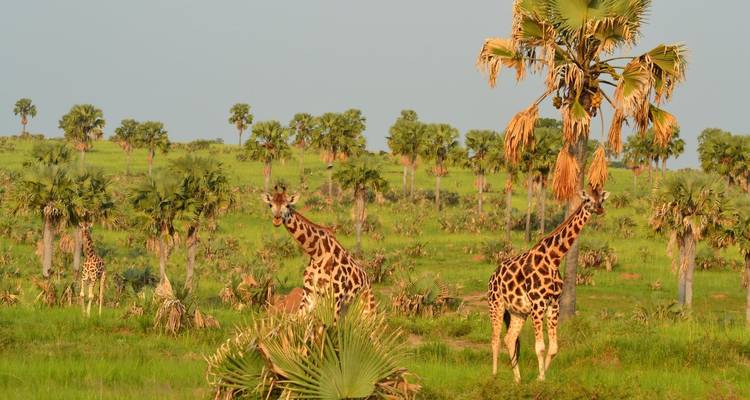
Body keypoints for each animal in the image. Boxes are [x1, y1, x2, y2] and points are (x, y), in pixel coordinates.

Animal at [261, 185, 376, 316]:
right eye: (270, 204)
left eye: (288, 205)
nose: (277, 219)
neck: (316, 253)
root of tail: (368, 280)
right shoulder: (308, 293)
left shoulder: (336, 296)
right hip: (346, 307)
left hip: (366, 307)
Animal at [488, 189, 609, 382]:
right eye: (588, 199)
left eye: (601, 199)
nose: (599, 209)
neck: (554, 258)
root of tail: (493, 276)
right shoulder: (538, 304)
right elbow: (540, 347)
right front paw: (542, 379)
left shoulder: (554, 304)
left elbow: (553, 348)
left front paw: (540, 376)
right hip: (496, 304)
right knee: (495, 338)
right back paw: (494, 375)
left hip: (518, 311)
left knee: (509, 338)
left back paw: (518, 379)